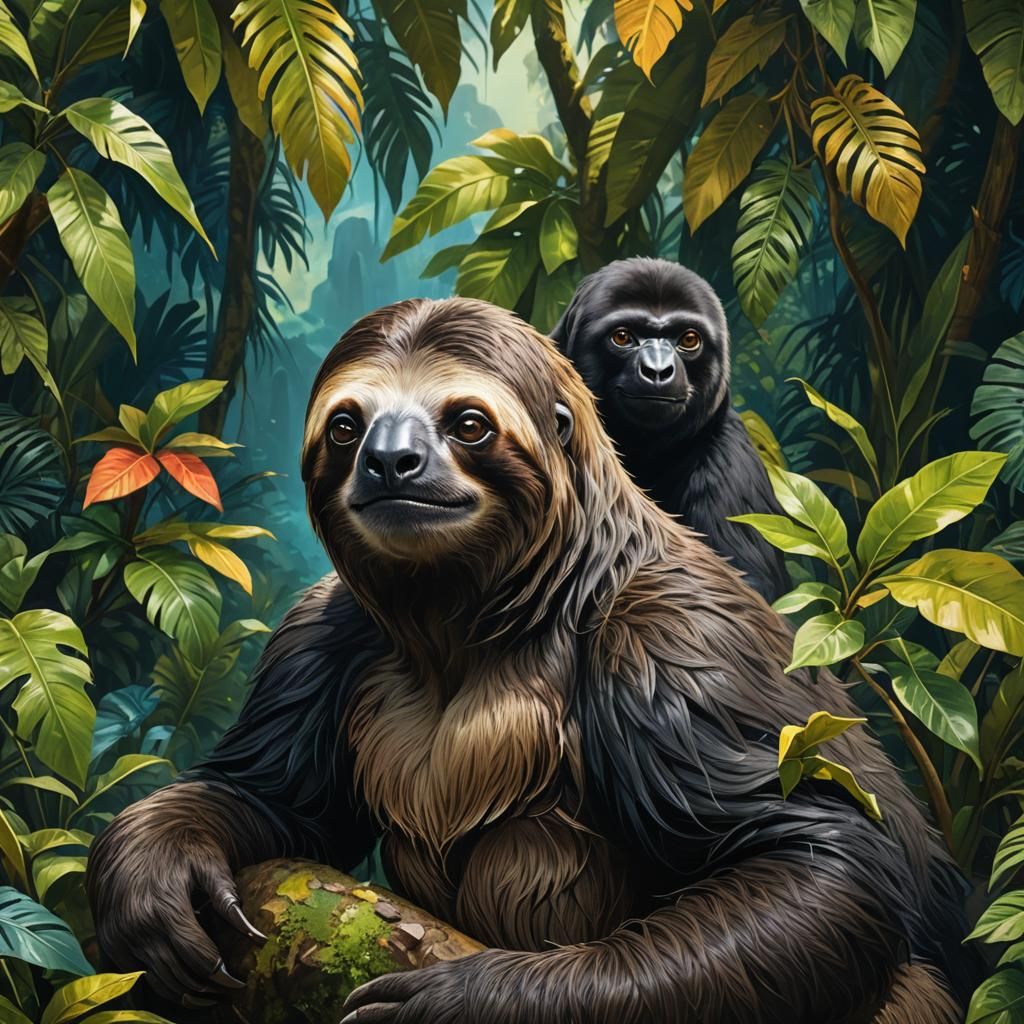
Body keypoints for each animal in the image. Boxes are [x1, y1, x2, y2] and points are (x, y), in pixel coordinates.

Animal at [86, 298, 970, 1023]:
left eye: (468, 423)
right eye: (346, 426)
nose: (389, 460)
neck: (495, 614)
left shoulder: (672, 644)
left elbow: (821, 860)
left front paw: (471, 1003)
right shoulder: (317, 633)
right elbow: (270, 798)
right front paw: (155, 868)